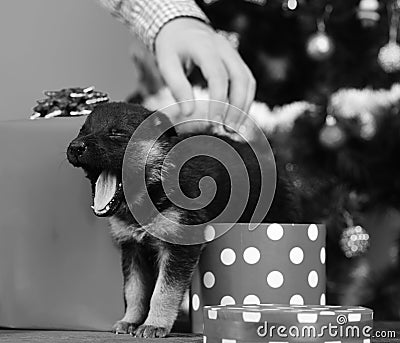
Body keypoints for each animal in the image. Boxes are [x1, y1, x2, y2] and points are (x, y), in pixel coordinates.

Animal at [66, 102, 296, 338]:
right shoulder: (132, 248)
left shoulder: (180, 246)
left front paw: (154, 324)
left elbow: (164, 290)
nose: (75, 147)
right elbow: (134, 290)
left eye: (116, 133)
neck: (154, 185)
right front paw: (130, 320)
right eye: (82, 131)